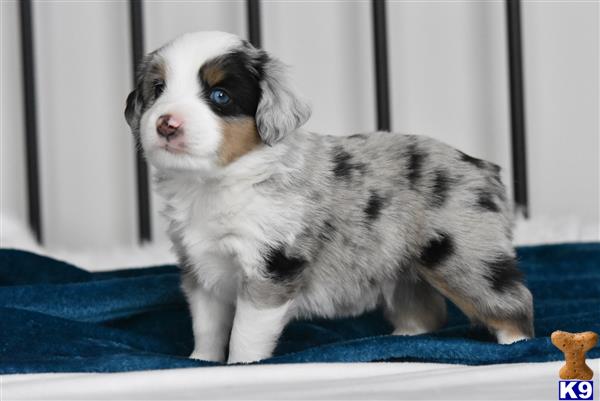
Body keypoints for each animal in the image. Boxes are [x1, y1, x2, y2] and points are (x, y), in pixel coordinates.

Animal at [125, 31, 536, 362]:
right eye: (158, 89)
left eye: (219, 95)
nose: (166, 124)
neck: (215, 182)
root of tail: (485, 167)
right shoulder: (201, 269)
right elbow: (207, 327)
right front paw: (201, 363)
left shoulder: (271, 268)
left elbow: (245, 333)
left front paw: (241, 368)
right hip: (404, 270)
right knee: (424, 312)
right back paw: (402, 341)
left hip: (464, 256)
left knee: (512, 304)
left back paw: (518, 348)